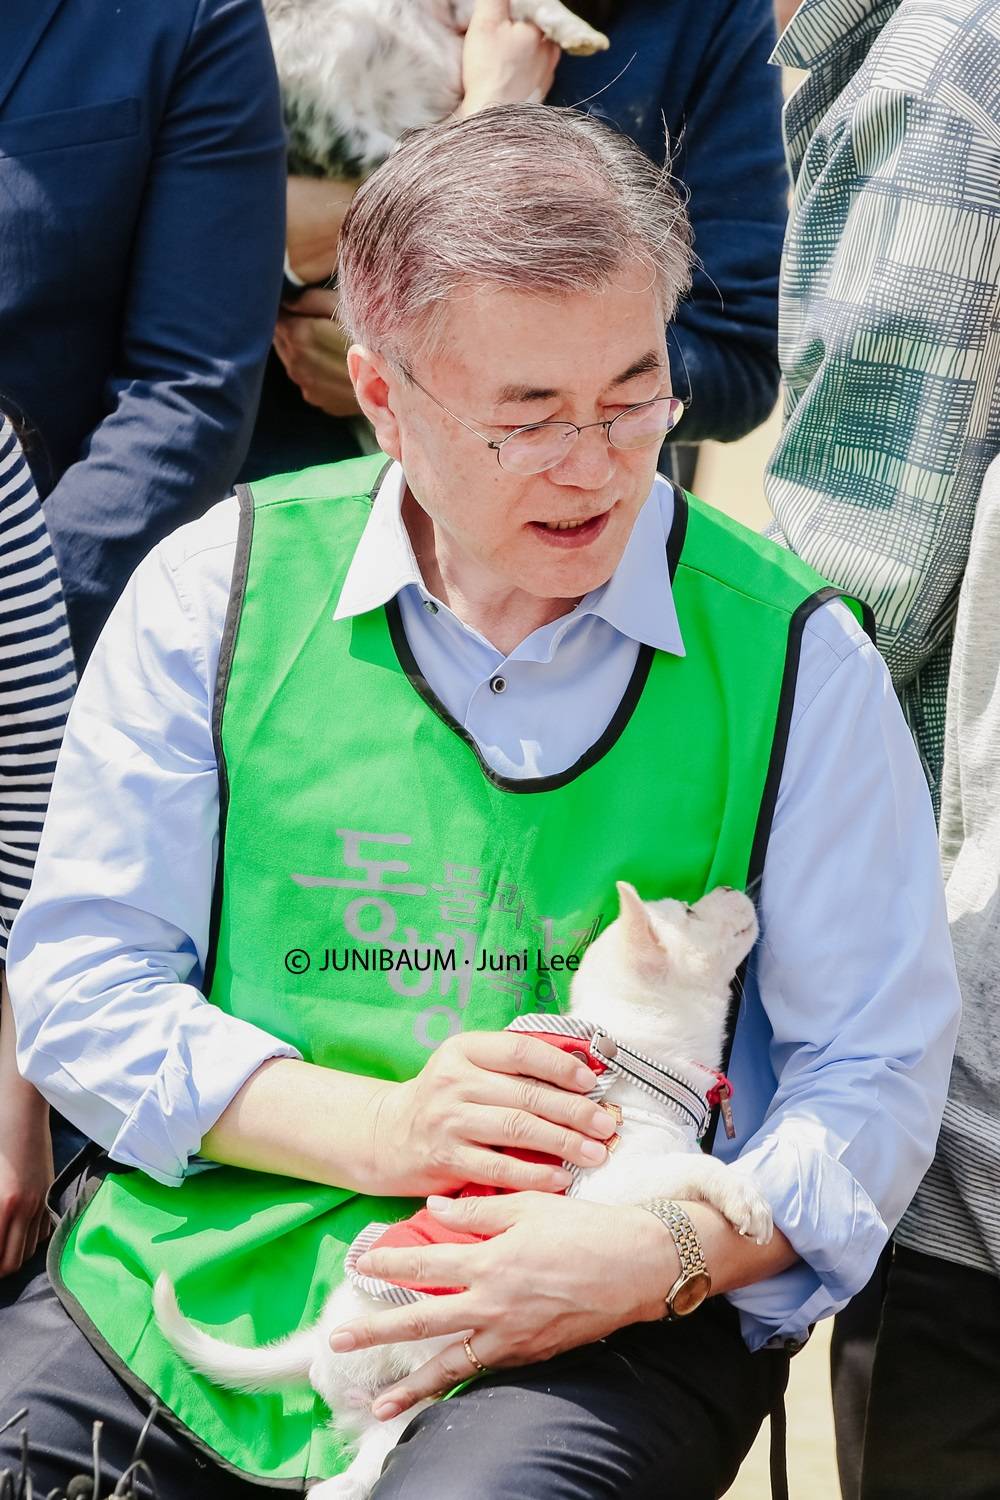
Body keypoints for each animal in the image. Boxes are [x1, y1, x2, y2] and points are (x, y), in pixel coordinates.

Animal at [156, 882, 773, 1494]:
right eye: (690, 910)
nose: (728, 885)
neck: (639, 1065)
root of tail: (324, 1337)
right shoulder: (606, 1185)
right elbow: (694, 1168)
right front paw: (746, 1197)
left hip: (395, 1408)